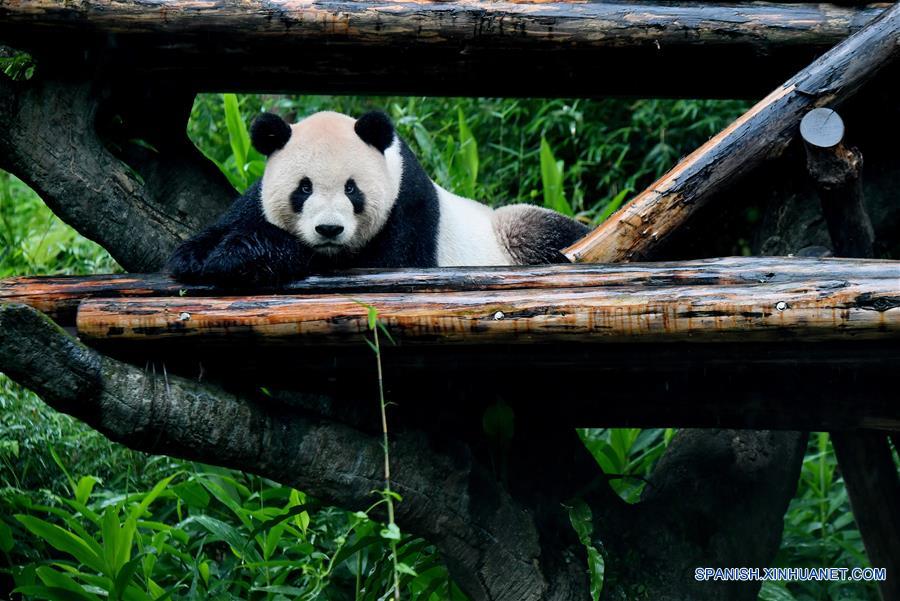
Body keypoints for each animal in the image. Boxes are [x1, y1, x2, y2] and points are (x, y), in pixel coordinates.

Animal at [167, 109, 592, 284]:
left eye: (351, 189)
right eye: (303, 188)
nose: (329, 229)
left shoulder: (408, 212)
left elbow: (378, 262)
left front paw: (239, 256)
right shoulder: (255, 199)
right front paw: (201, 254)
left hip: (511, 232)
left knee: (544, 231)